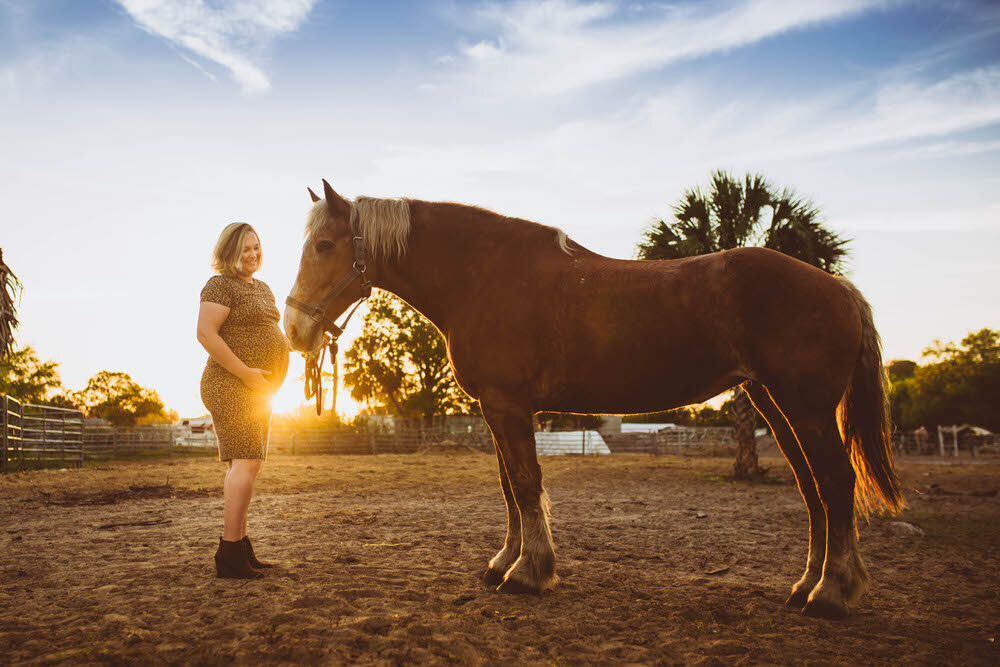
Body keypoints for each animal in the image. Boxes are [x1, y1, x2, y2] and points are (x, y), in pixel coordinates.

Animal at [284, 181, 908, 620]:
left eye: (324, 245)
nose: (293, 330)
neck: (482, 276)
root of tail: (838, 286)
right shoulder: (497, 409)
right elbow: (510, 488)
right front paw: (505, 563)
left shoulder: (509, 406)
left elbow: (527, 486)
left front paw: (528, 574)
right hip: (776, 405)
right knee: (813, 489)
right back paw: (806, 586)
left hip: (805, 408)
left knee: (835, 483)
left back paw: (831, 594)